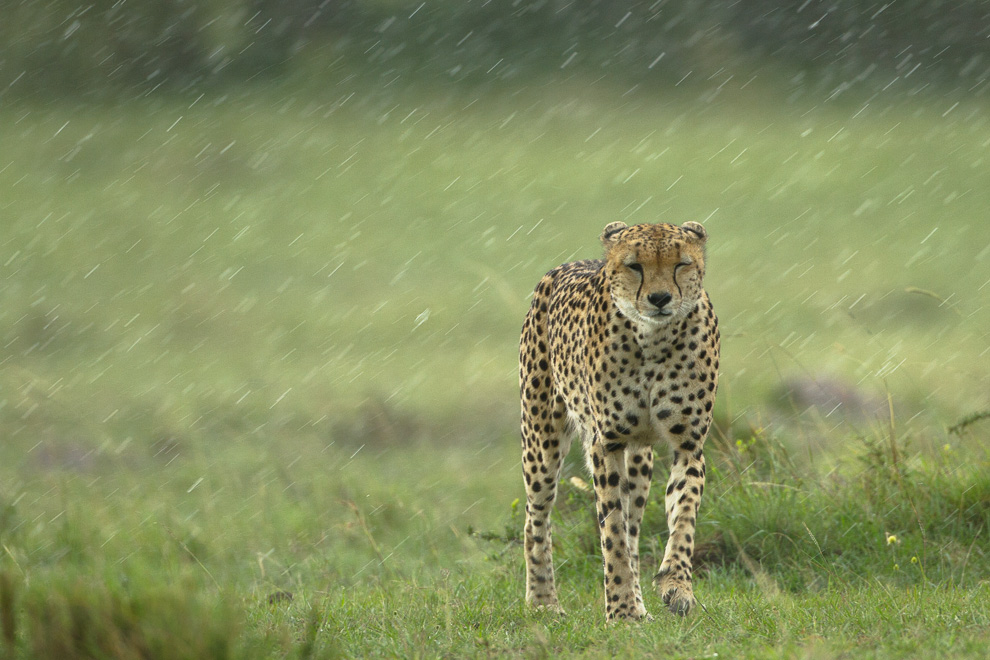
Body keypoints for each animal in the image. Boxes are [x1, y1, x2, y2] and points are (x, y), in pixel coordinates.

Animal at [520, 220, 720, 620]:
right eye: (634, 266)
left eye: (681, 264)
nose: (659, 299)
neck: (653, 339)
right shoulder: (606, 444)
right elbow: (611, 529)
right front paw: (623, 611)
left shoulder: (689, 444)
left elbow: (683, 516)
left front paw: (676, 586)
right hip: (541, 443)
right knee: (536, 518)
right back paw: (543, 602)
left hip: (639, 462)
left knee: (634, 526)